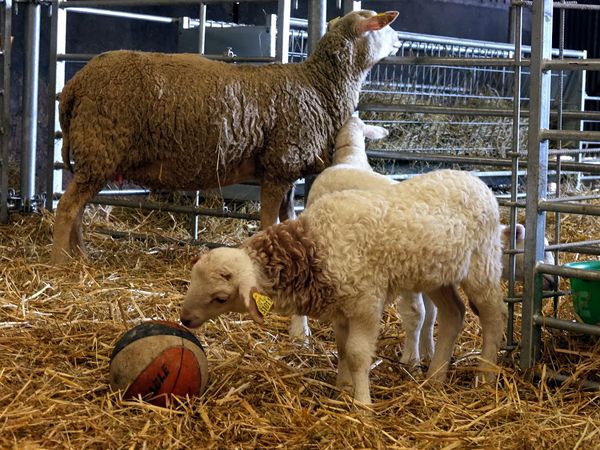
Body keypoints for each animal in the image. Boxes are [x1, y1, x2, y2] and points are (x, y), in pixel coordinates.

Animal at [179, 169, 506, 404]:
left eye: (220, 298)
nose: (185, 319)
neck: (312, 247)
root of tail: (477, 182)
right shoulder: (341, 306)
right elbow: (342, 349)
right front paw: (342, 389)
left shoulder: (365, 303)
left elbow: (359, 354)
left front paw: (362, 405)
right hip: (438, 274)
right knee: (454, 314)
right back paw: (436, 379)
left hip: (483, 263)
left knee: (493, 315)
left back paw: (486, 377)